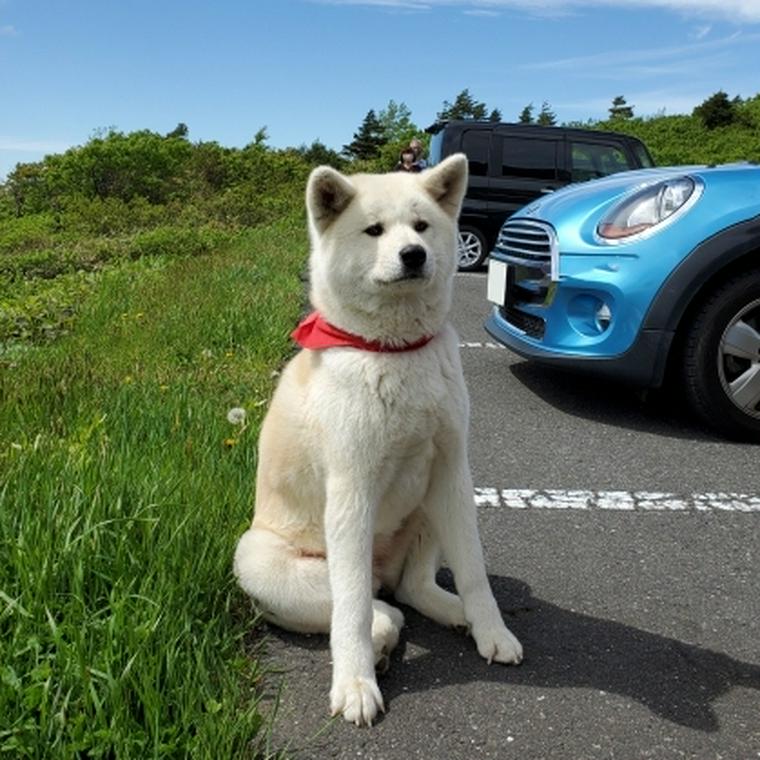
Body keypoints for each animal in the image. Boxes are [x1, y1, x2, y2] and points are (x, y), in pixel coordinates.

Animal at [235, 153, 524, 724]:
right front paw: (355, 683)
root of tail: (382, 572)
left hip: (430, 502)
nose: (413, 255)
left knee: (411, 589)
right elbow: (350, 612)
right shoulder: (352, 489)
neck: (395, 351)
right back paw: (383, 643)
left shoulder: (453, 471)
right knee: (378, 608)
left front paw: (491, 628)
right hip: (261, 558)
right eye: (374, 231)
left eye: (422, 227)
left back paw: (451, 610)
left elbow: (474, 571)